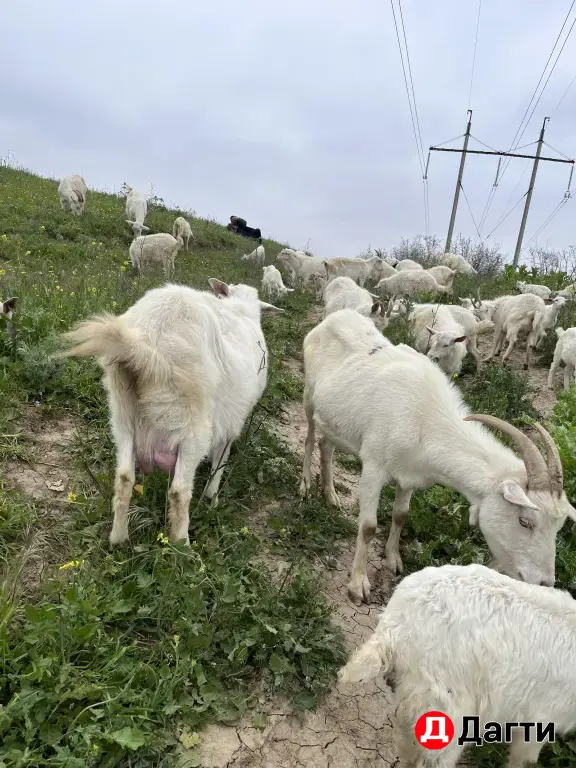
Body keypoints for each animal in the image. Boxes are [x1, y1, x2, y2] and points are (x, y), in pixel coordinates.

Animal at [59, 279, 284, 545]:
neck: (240, 309)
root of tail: (148, 342)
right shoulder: (232, 420)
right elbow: (221, 460)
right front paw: (212, 497)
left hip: (123, 414)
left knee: (124, 478)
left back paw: (119, 539)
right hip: (193, 426)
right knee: (179, 492)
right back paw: (181, 545)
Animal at [299, 308, 575, 603]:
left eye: (559, 527)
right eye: (525, 521)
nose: (544, 582)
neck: (425, 420)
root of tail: (336, 316)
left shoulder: (409, 474)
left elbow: (400, 515)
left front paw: (393, 560)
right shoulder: (373, 466)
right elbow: (369, 526)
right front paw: (358, 585)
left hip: (336, 419)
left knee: (326, 445)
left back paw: (330, 494)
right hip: (309, 397)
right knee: (309, 438)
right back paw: (305, 485)